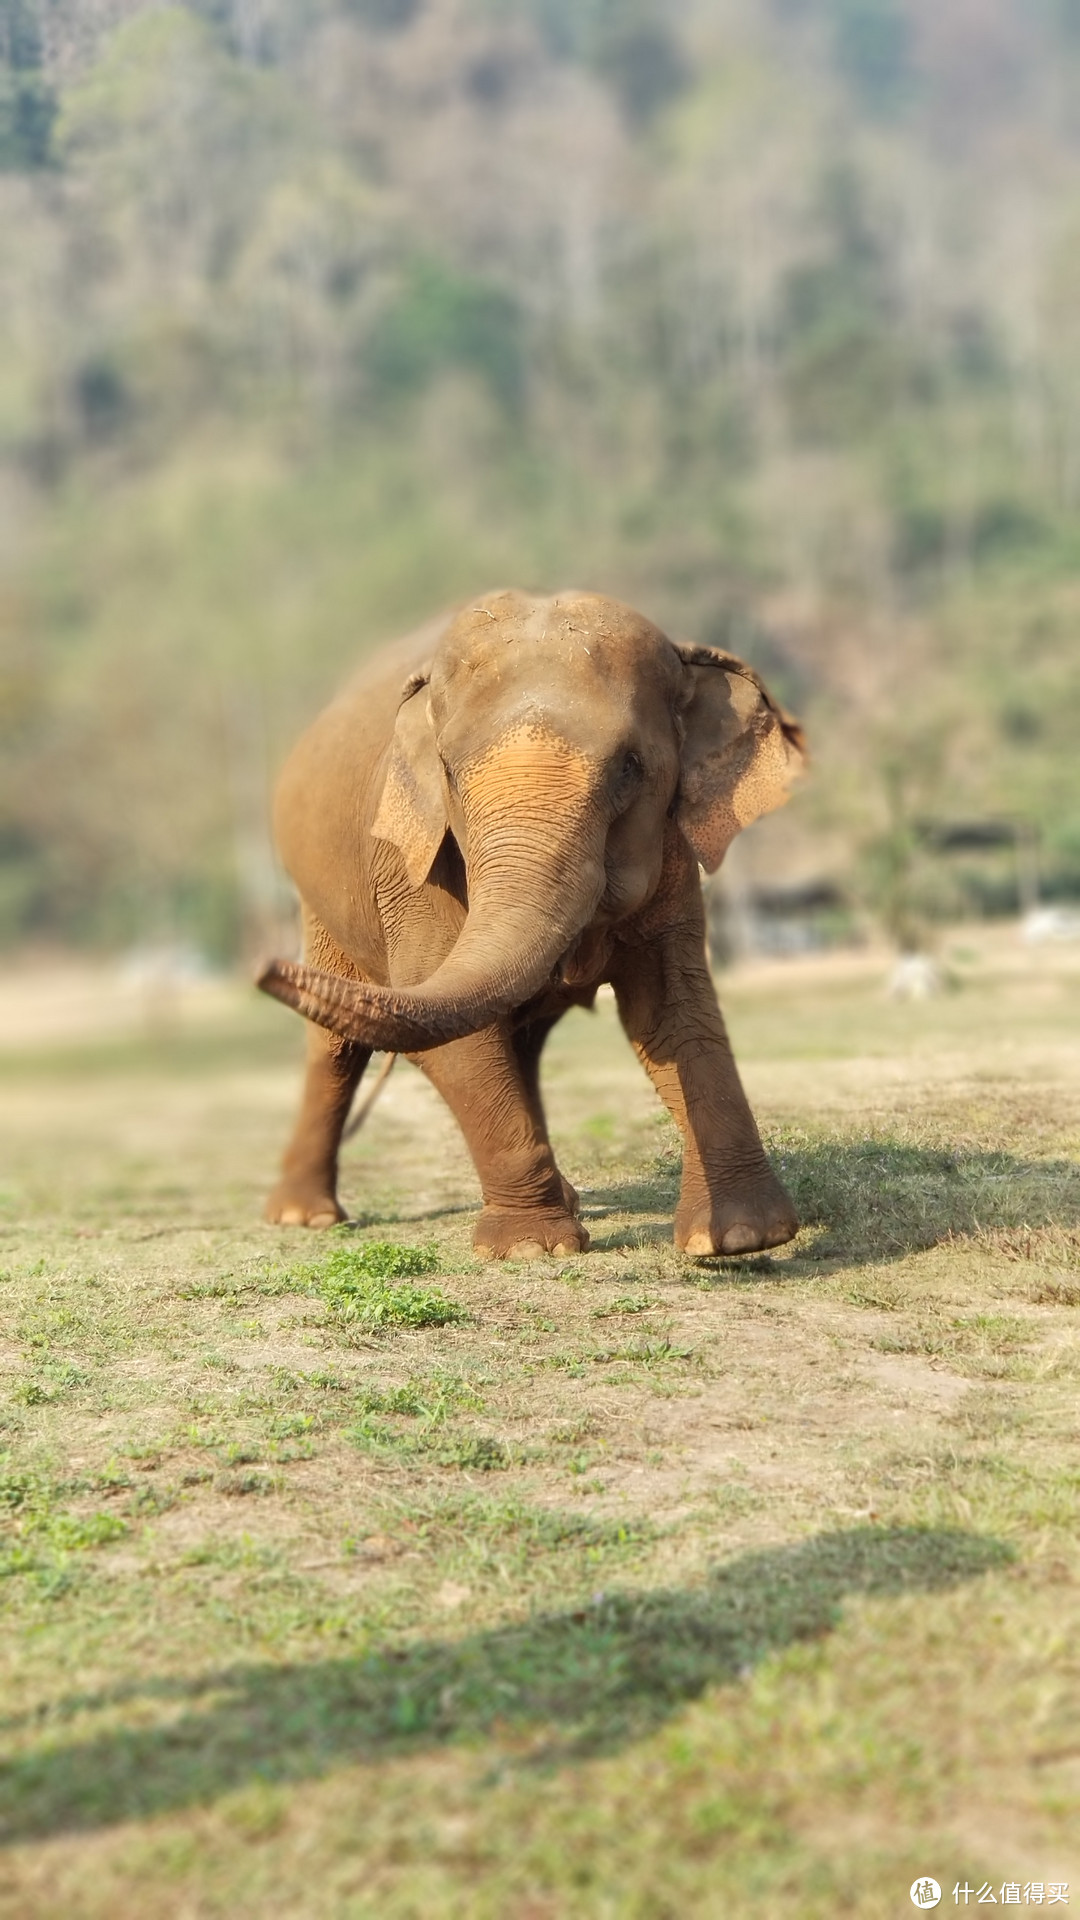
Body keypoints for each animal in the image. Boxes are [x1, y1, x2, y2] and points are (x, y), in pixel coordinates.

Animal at [255, 591, 803, 1267]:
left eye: (631, 768)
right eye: (450, 772)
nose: (263, 967)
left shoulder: (674, 849)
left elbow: (670, 1013)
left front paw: (740, 1238)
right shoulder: (412, 864)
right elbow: (451, 1034)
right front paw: (530, 1250)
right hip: (321, 907)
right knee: (336, 1048)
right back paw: (303, 1218)